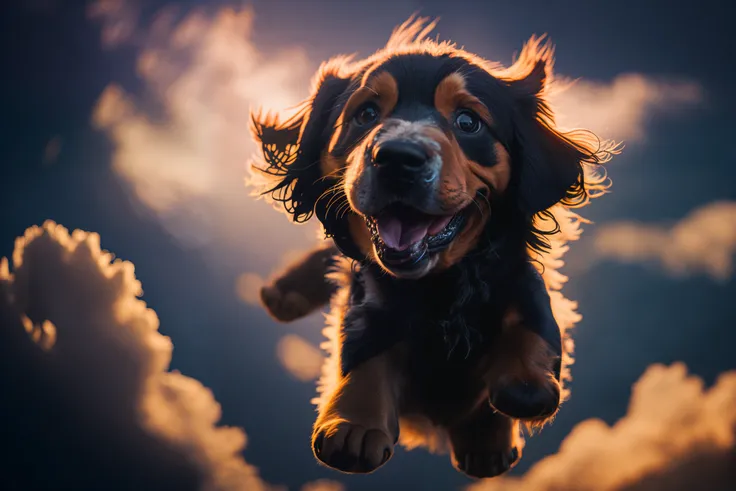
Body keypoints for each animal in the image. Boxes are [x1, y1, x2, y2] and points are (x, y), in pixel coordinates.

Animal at [250, 16, 612, 480]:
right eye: (366, 114)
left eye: (468, 121)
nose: (398, 158)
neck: (438, 282)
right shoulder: (370, 298)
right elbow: (362, 351)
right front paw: (353, 423)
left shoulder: (517, 275)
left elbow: (535, 325)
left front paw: (520, 391)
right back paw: (284, 292)